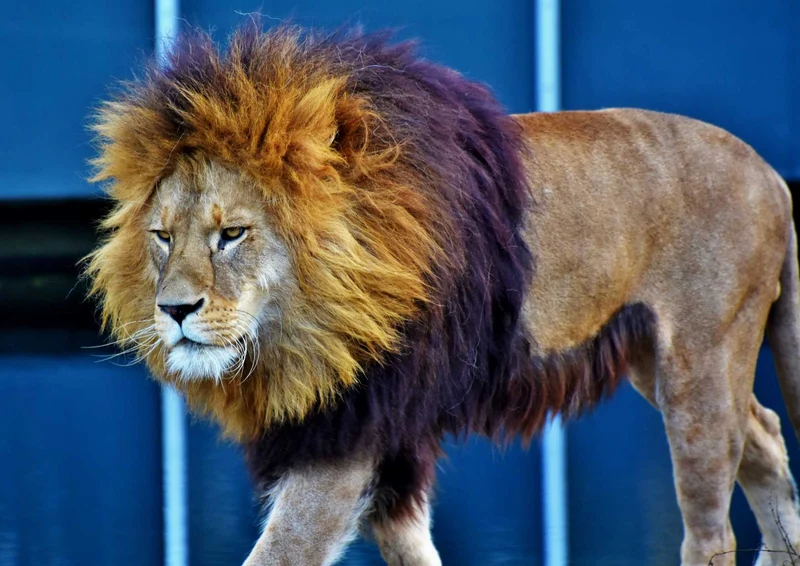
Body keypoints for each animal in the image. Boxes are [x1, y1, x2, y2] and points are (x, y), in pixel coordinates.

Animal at [86, 24, 800, 566]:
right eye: (161, 237)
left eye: (231, 234)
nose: (174, 311)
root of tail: (772, 174)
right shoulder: (386, 431)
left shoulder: (347, 430)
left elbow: (281, 551)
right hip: (659, 361)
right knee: (764, 433)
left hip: (698, 365)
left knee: (712, 526)